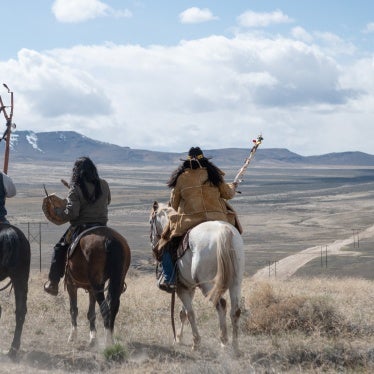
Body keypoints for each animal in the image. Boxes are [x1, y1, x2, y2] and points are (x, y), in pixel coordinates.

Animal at [150, 200, 245, 352]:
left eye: (150, 221)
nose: (154, 246)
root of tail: (223, 231)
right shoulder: (190, 287)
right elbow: (183, 313)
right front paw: (179, 338)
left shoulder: (181, 287)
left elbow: (190, 313)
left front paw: (195, 342)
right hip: (236, 282)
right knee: (235, 310)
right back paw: (235, 347)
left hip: (207, 285)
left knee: (221, 304)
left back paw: (224, 341)